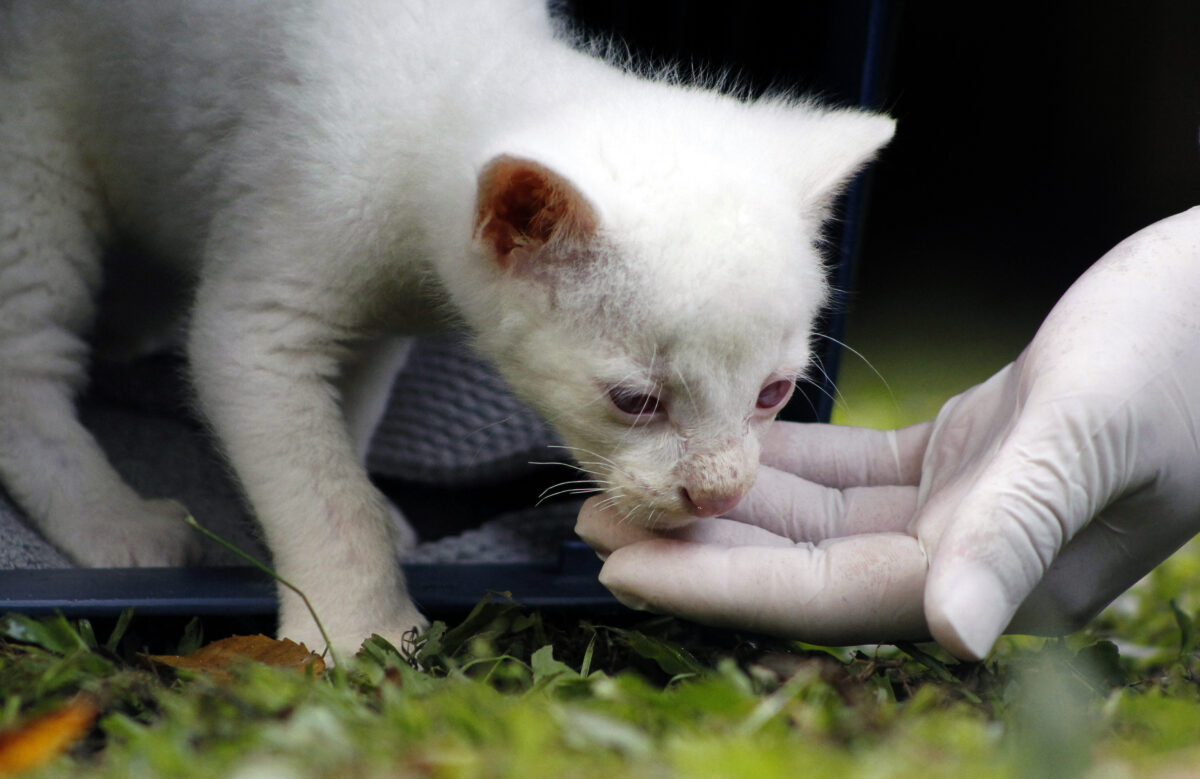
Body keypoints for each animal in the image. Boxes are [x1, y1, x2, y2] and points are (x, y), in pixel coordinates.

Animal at [0, 1, 888, 648]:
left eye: (774, 393)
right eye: (634, 401)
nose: (718, 491)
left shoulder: (372, 329)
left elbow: (345, 430)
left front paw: (372, 510)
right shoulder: (262, 322)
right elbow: (325, 498)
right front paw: (361, 633)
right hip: (34, 164)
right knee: (25, 366)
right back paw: (109, 519)